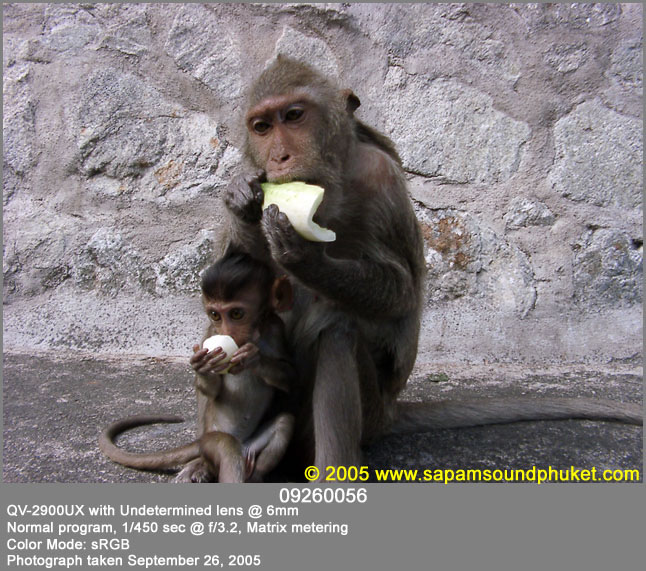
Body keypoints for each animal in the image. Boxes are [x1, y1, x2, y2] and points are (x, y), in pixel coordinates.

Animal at [99, 250, 295, 482]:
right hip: (212, 442)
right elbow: (212, 389)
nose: (226, 331)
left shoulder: (276, 327)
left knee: (284, 423)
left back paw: (254, 475)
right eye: (215, 315)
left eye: (236, 314)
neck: (254, 334)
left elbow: (289, 375)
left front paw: (254, 359)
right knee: (227, 449)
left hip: (250, 446)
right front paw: (202, 367)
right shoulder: (210, 333)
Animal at [222, 56, 642, 479]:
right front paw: (241, 200)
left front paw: (303, 255)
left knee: (338, 328)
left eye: (294, 116)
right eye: (262, 127)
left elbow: (402, 291)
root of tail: (390, 412)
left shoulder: (381, 179)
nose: (279, 158)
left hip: (367, 411)